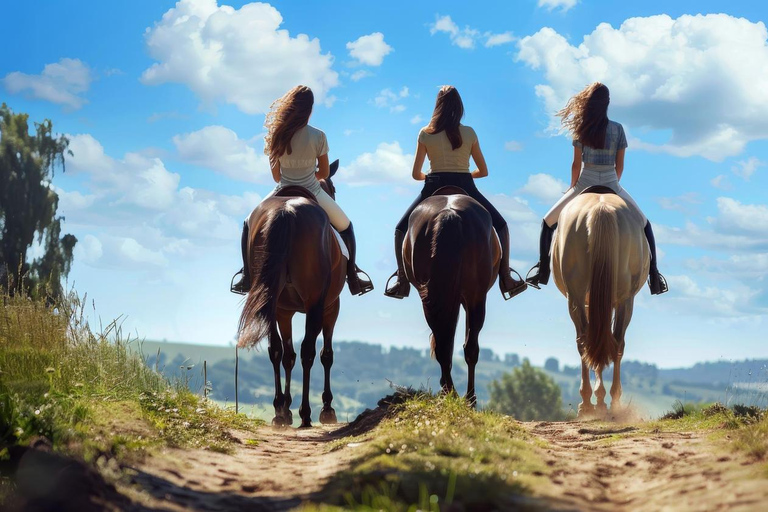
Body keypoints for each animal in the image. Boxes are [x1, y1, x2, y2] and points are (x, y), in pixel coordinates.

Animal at [237, 160, 344, 428]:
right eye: (334, 189)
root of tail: (285, 211)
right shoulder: (331, 307)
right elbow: (326, 355)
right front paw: (326, 408)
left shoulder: (284, 311)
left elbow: (286, 355)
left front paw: (285, 409)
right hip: (316, 304)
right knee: (308, 352)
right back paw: (306, 414)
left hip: (271, 303)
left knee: (277, 351)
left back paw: (279, 413)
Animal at [400, 186, 500, 406]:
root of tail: (448, 212)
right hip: (475, 297)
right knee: (469, 347)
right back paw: (468, 397)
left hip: (432, 297)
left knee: (443, 342)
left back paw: (451, 392)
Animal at [552, 188, 648, 416]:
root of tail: (600, 206)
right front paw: (601, 397)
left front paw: (598, 398)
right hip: (624, 299)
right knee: (614, 342)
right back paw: (609, 400)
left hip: (577, 297)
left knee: (588, 341)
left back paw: (590, 402)